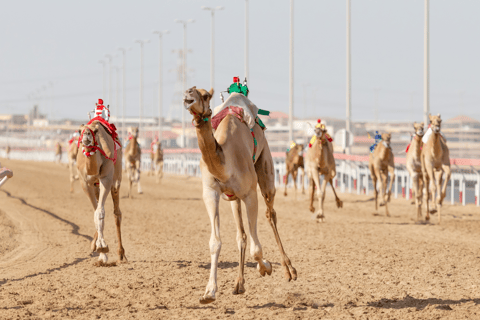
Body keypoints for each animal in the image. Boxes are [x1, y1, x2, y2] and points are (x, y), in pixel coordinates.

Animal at [77, 121, 125, 264]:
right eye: (79, 131)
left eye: (96, 131)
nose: (87, 135)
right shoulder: (85, 183)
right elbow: (95, 212)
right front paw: (100, 251)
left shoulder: (106, 178)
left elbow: (100, 212)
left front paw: (102, 248)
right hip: (95, 186)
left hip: (116, 178)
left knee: (117, 213)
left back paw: (120, 253)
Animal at [183, 86, 296, 304]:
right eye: (189, 91)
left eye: (206, 95)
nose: (188, 94)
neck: (225, 163)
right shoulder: (210, 193)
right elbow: (215, 242)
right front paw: (209, 292)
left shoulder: (250, 194)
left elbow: (256, 248)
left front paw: (266, 267)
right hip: (232, 198)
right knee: (241, 234)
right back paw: (239, 284)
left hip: (265, 166)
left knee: (271, 214)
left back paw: (289, 270)